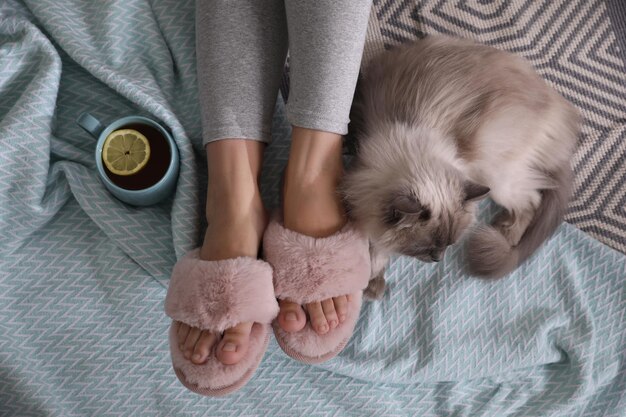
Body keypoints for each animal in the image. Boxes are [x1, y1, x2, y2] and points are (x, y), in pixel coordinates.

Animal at [342, 35, 580, 296]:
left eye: (449, 244)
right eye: (424, 248)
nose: (438, 259)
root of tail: (563, 114)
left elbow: (379, 249)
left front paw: (372, 283)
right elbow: (373, 247)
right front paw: (372, 282)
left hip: (495, 172)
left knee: (532, 201)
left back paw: (506, 233)